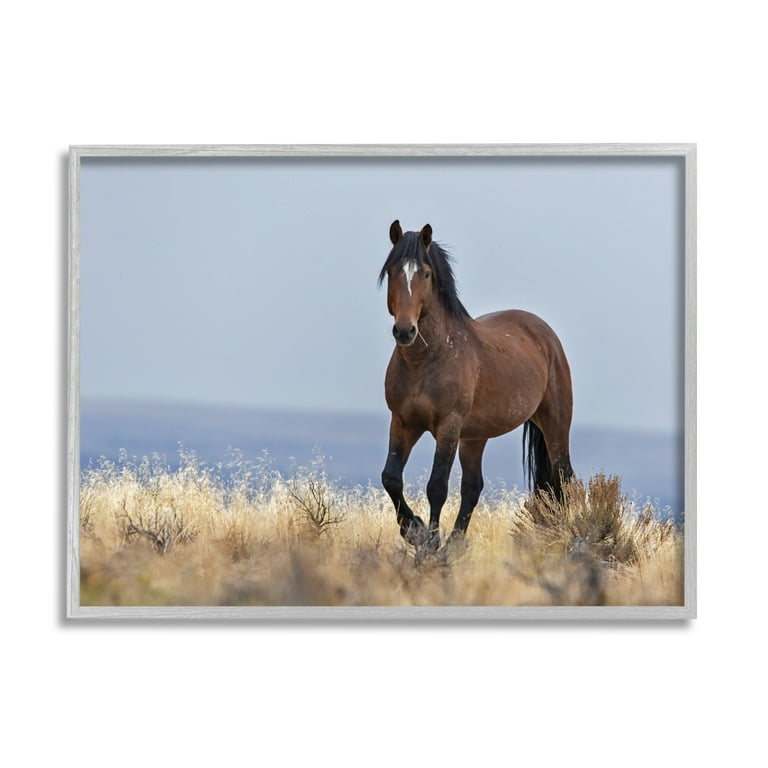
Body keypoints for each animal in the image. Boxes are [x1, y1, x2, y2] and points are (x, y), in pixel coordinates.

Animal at [379, 220, 575, 554]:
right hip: (475, 436)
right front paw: (414, 530)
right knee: (473, 487)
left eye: (426, 274)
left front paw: (430, 542)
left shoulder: (449, 425)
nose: (405, 331)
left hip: (555, 424)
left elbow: (437, 486)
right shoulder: (403, 422)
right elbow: (391, 477)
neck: (426, 360)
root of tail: (545, 334)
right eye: (392, 271)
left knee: (563, 478)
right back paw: (456, 544)